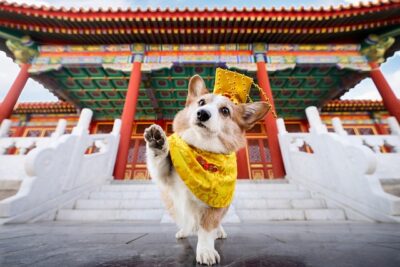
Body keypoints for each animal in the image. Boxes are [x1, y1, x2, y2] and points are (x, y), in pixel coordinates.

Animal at [144, 74, 268, 266]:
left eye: (225, 111)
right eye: (201, 102)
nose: (202, 113)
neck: (202, 149)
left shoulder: (215, 205)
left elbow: (207, 230)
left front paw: (206, 251)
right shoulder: (166, 178)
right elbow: (159, 161)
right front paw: (157, 142)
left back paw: (219, 231)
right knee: (185, 221)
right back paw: (184, 231)